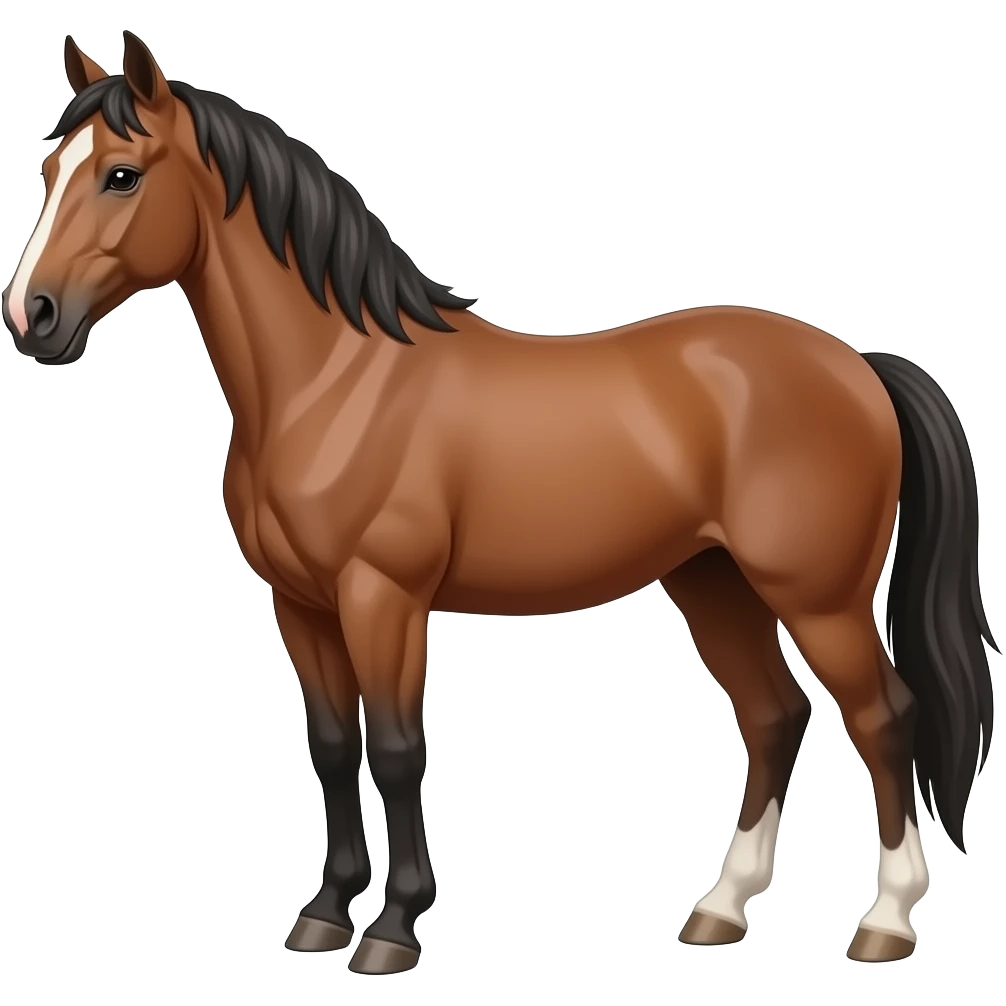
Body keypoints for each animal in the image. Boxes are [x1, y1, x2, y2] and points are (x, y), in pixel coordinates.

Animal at [3, 31, 996, 973]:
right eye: (48, 171)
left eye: (122, 174)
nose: (32, 317)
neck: (336, 379)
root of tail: (858, 364)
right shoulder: (301, 604)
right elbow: (332, 747)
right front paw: (324, 913)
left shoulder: (383, 597)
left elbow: (396, 749)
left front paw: (393, 930)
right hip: (714, 583)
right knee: (774, 716)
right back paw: (720, 910)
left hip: (818, 599)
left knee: (885, 718)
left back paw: (884, 922)